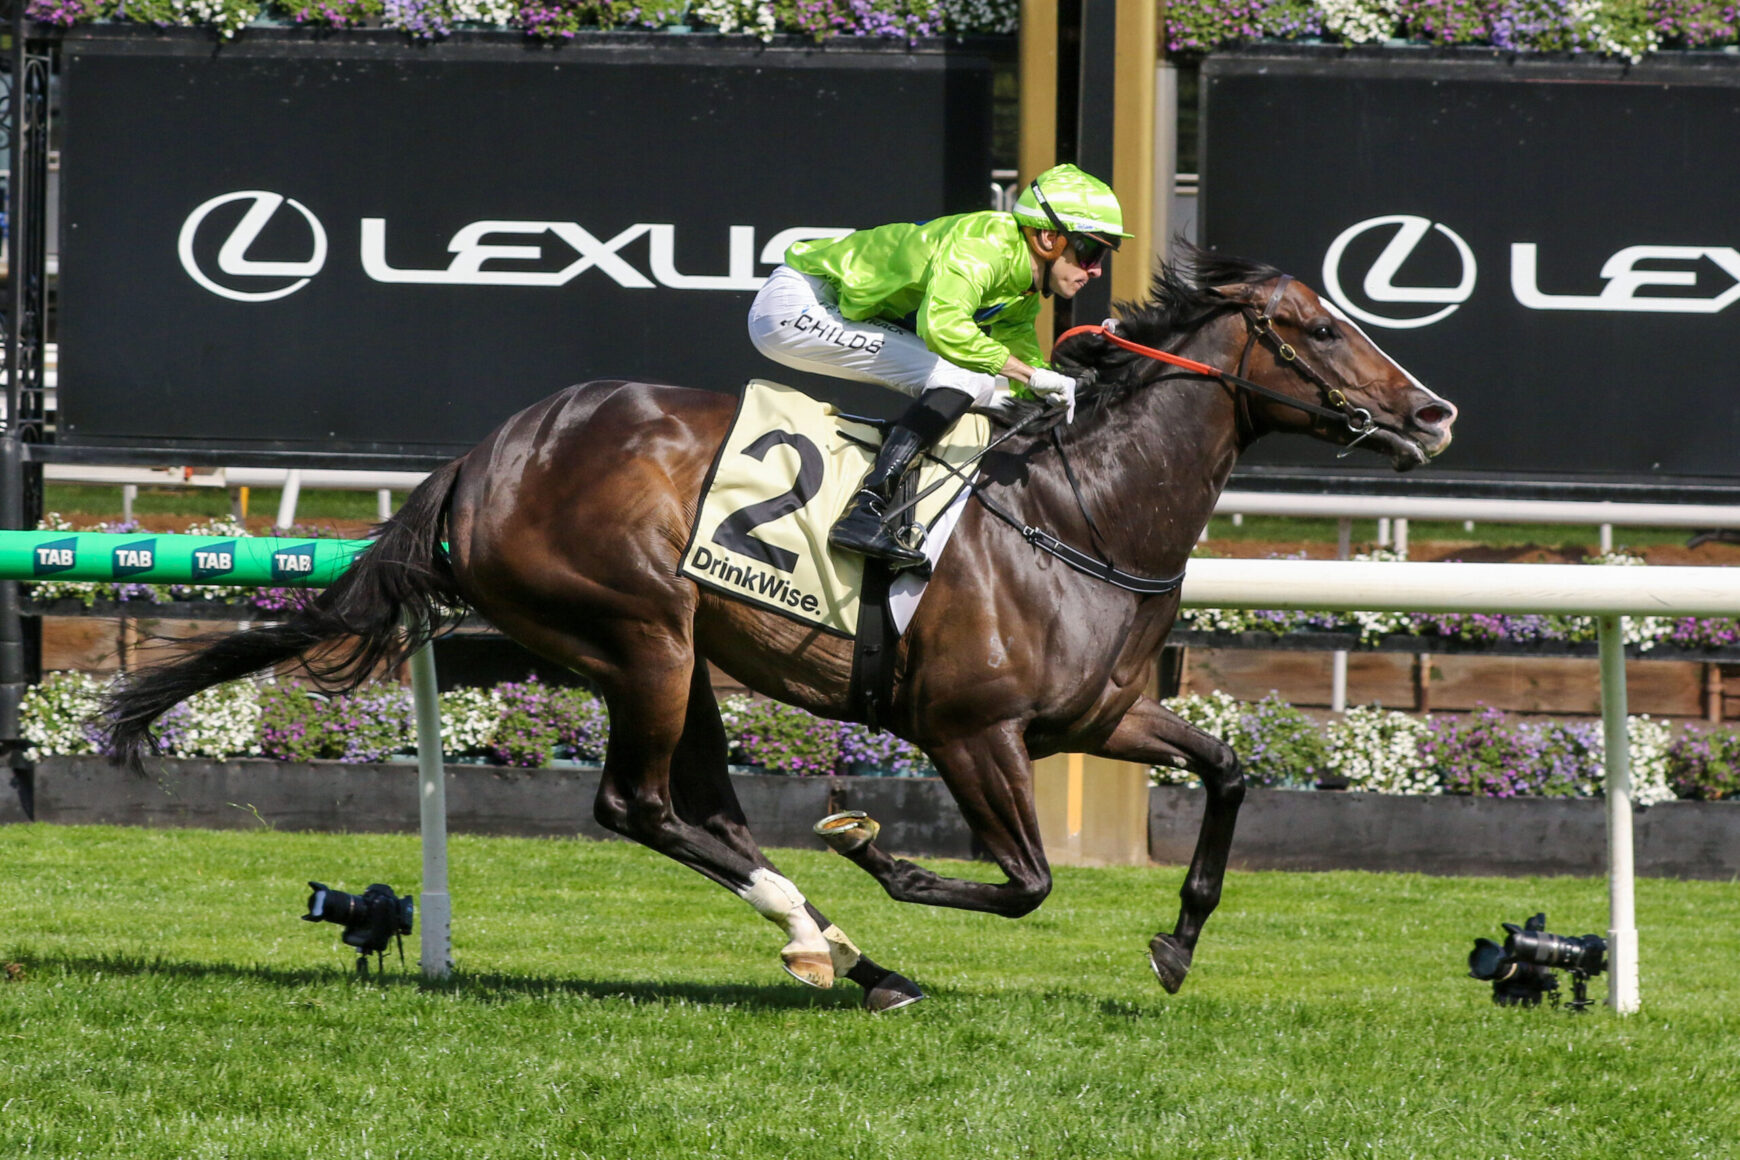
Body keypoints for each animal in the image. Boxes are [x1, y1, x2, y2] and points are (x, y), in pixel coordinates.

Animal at [102, 251, 1457, 1012]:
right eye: (1321, 326)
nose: (1433, 412)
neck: (1081, 511)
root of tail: (484, 459)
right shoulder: (971, 730)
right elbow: (1025, 881)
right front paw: (876, 849)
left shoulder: (1100, 717)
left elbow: (1225, 773)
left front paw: (1176, 941)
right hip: (640, 634)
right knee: (641, 806)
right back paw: (835, 932)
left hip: (678, 655)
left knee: (701, 811)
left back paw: (848, 956)